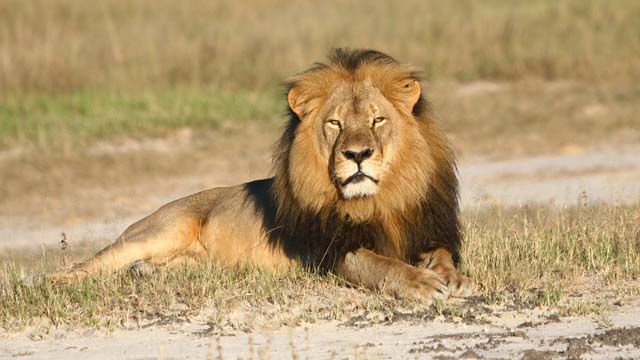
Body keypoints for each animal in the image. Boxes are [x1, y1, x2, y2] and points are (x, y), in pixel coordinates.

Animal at [51, 47, 476, 300]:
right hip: (159, 230)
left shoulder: (427, 229)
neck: (378, 201)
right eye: (335, 123)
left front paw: (452, 277)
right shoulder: (331, 252)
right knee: (87, 266)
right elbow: (380, 264)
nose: (357, 154)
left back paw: (146, 274)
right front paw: (421, 283)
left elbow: (441, 254)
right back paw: (56, 284)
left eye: (378, 120)